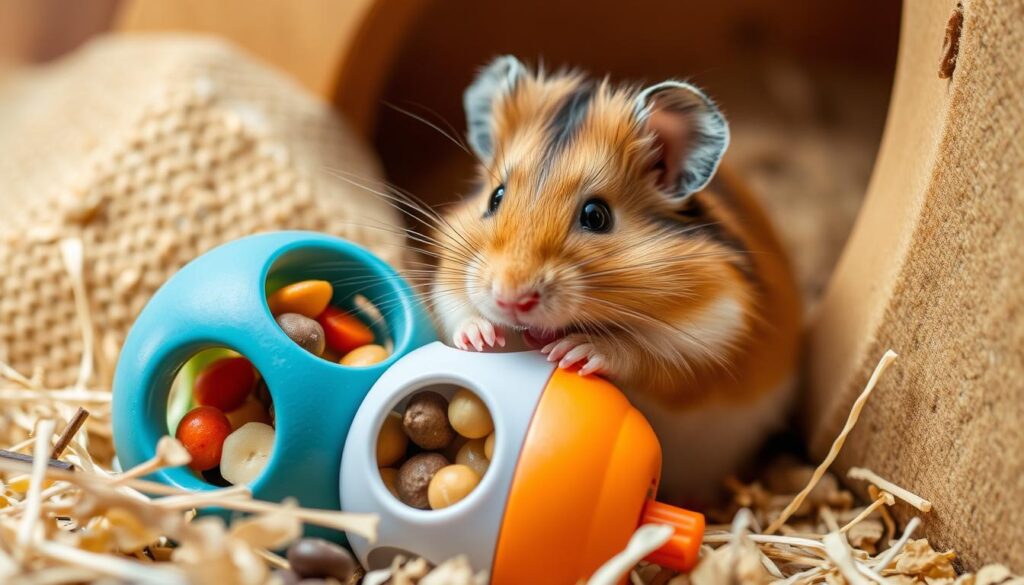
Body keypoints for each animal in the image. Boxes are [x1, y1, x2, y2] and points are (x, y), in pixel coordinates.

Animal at [428, 56, 802, 504]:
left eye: (597, 216)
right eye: (495, 198)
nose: (510, 299)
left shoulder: (714, 341)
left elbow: (644, 355)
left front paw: (575, 352)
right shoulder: (449, 282)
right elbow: (457, 311)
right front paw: (481, 337)